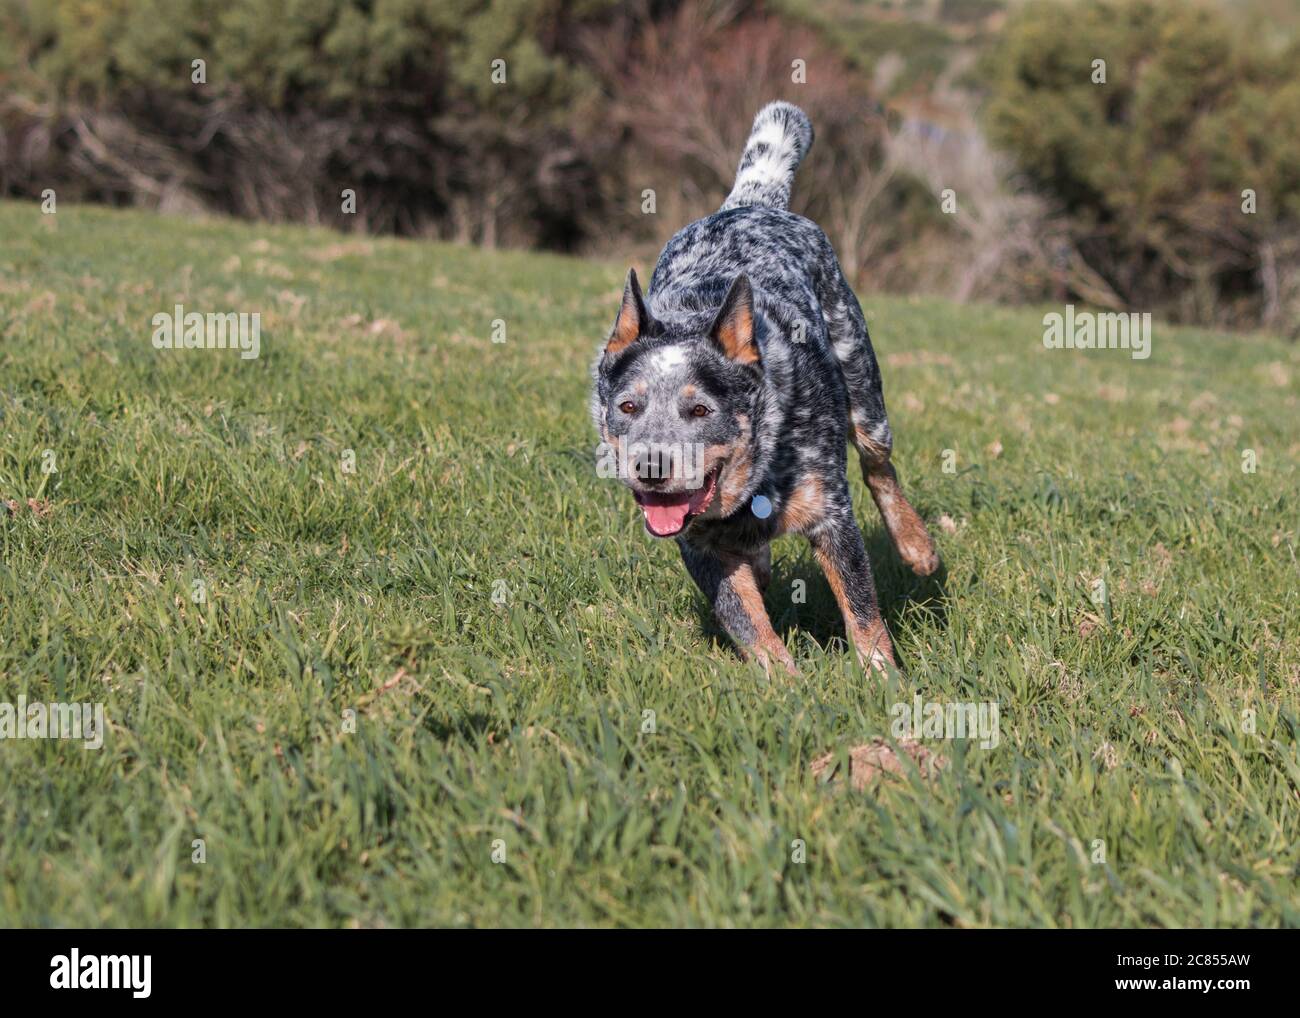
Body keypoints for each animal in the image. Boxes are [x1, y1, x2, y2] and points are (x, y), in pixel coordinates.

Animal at [595, 101, 941, 676]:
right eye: (628, 406)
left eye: (700, 410)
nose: (651, 466)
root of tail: (751, 203)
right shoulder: (697, 545)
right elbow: (747, 622)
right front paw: (786, 683)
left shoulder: (831, 515)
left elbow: (861, 607)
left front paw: (883, 679)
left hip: (864, 387)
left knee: (879, 467)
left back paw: (917, 546)